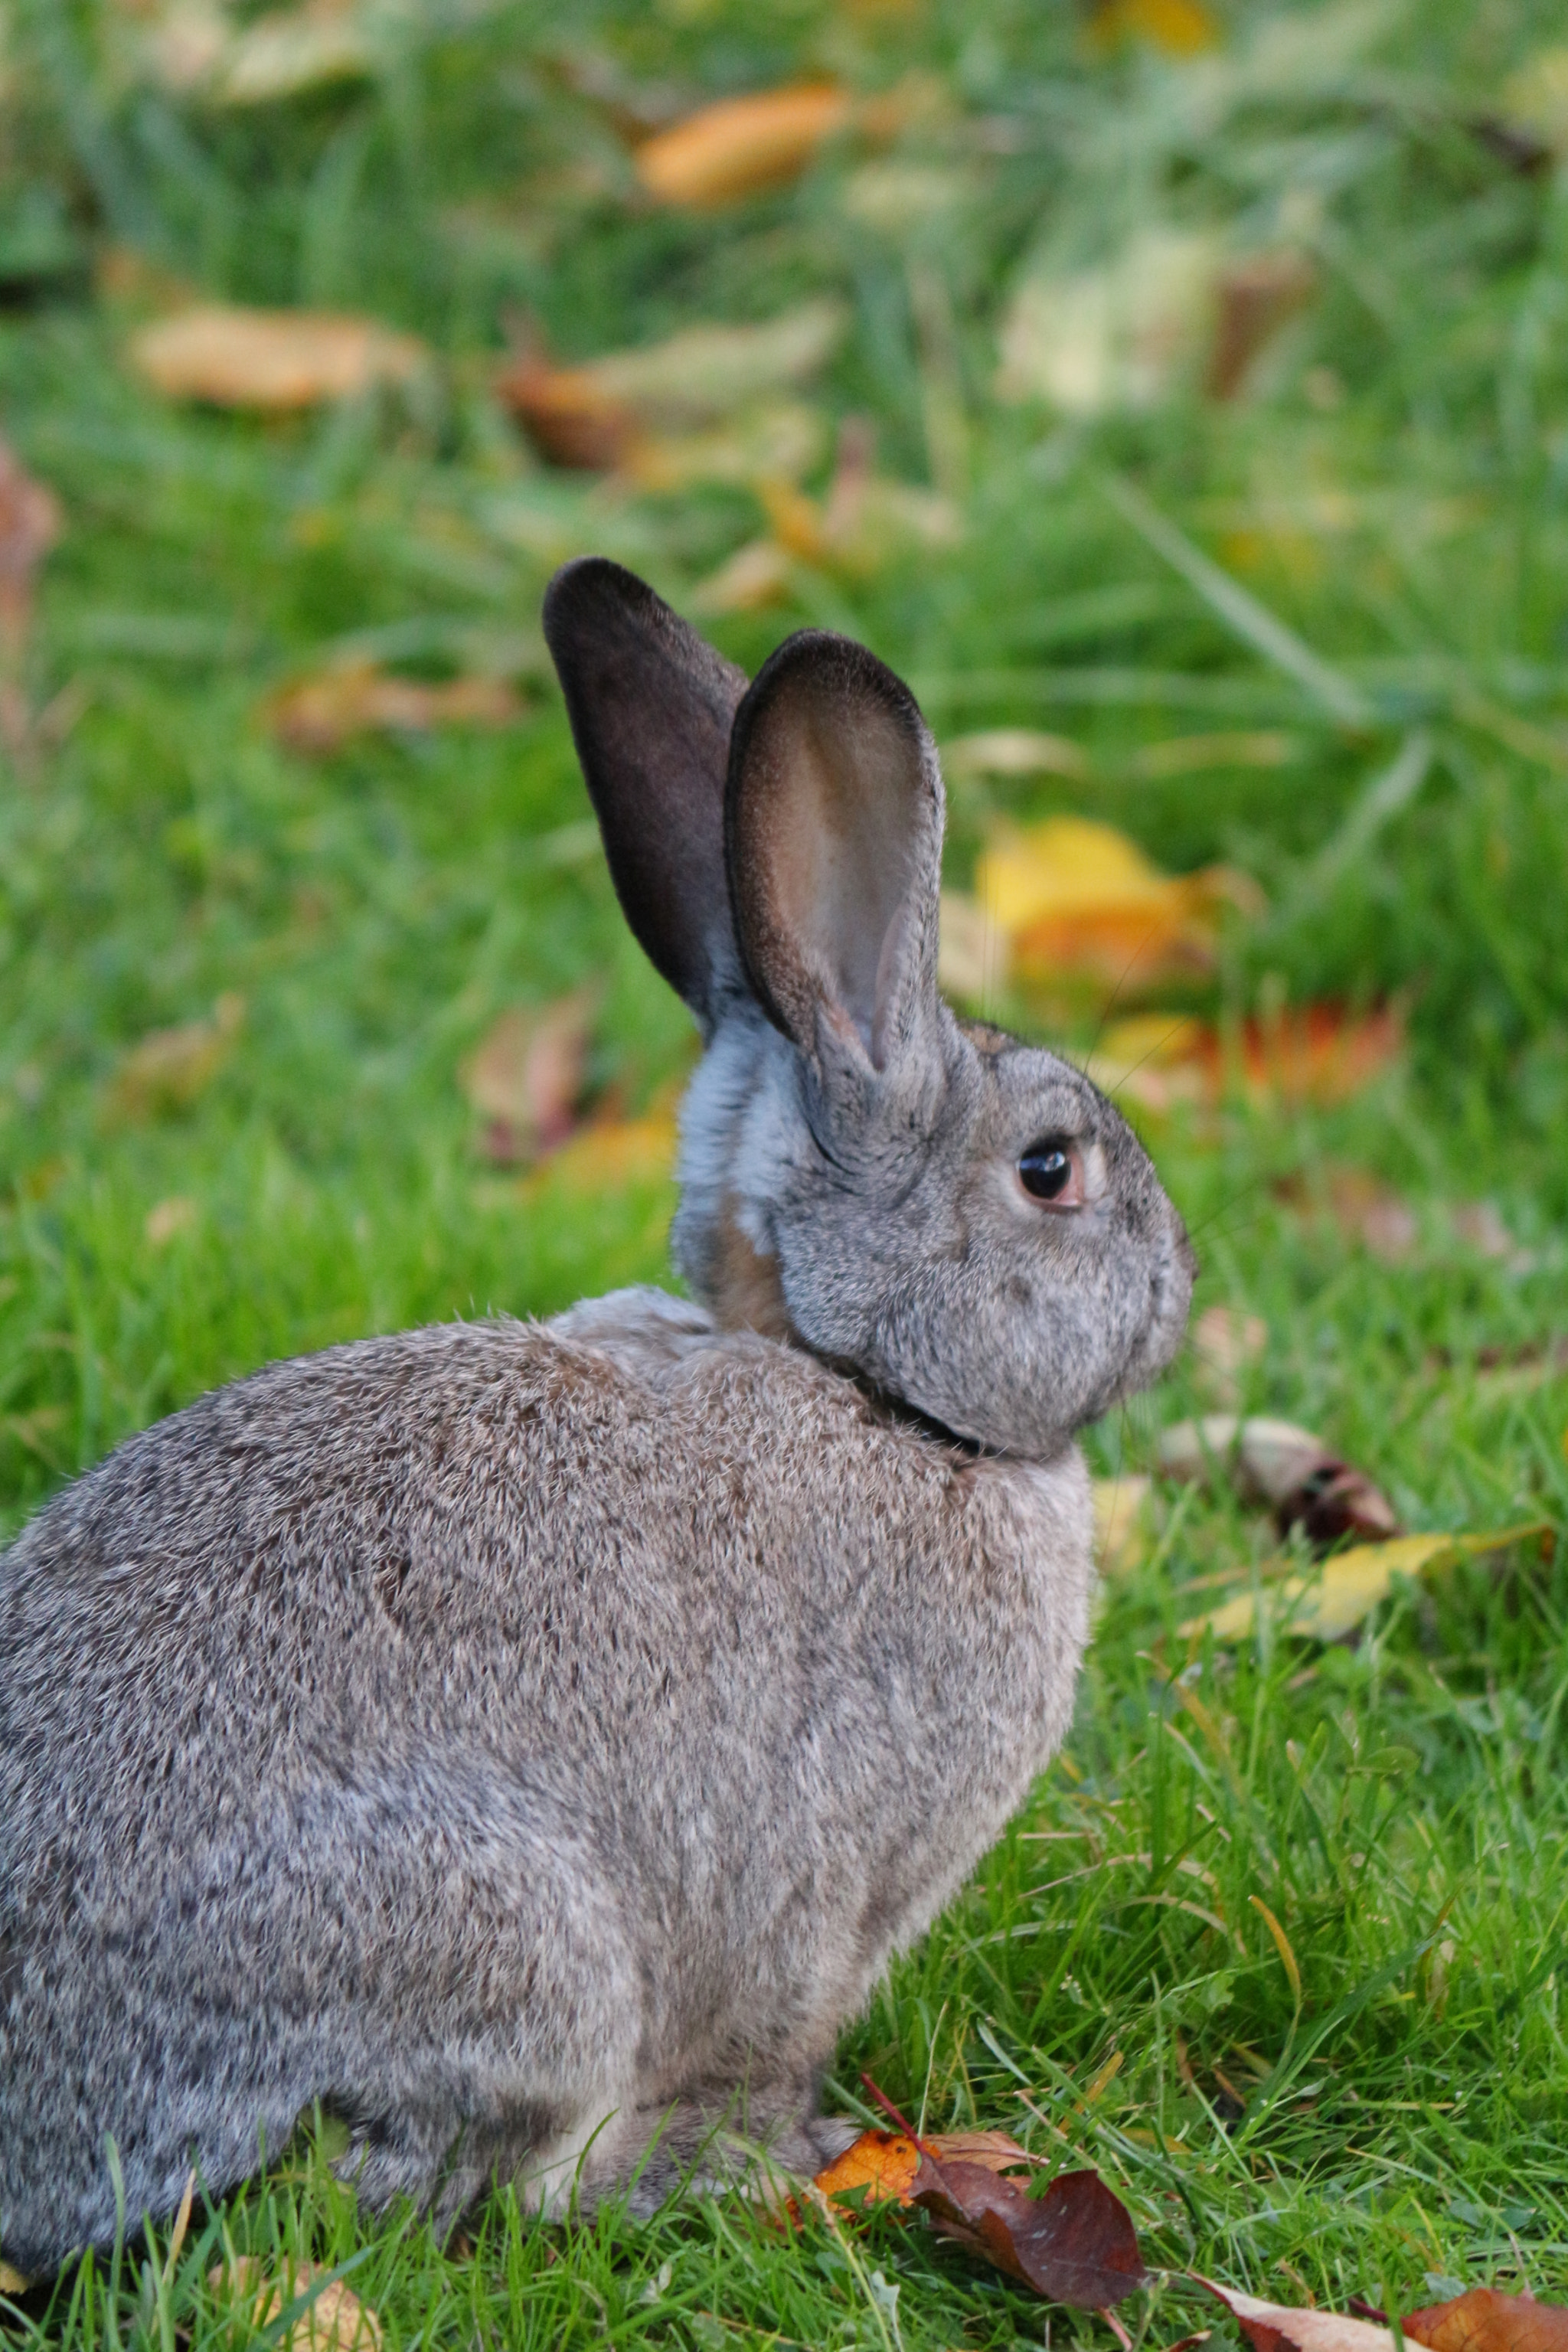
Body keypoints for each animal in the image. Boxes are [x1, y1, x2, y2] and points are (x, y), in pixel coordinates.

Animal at [0, 558, 1194, 2275]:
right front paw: (785, 2150)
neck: (865, 1385)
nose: (1177, 1282)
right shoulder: (817, 1881)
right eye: (1051, 1171)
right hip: (511, 1944)